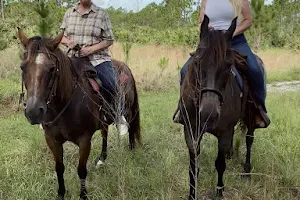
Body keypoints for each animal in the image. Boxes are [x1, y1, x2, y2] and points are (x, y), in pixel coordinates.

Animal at [17, 28, 141, 200]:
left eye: (52, 68)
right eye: (23, 67)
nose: (33, 112)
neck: (65, 104)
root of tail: (125, 67)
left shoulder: (84, 140)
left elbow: (81, 170)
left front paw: (83, 195)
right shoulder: (52, 140)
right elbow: (59, 168)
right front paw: (61, 194)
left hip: (128, 110)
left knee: (130, 128)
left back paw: (131, 150)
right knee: (105, 132)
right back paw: (102, 159)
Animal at [178, 16, 262, 200]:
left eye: (228, 65)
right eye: (197, 61)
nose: (208, 115)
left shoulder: (224, 132)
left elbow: (220, 163)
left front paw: (219, 191)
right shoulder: (191, 130)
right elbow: (193, 166)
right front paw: (192, 194)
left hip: (250, 117)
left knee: (249, 139)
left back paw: (246, 172)